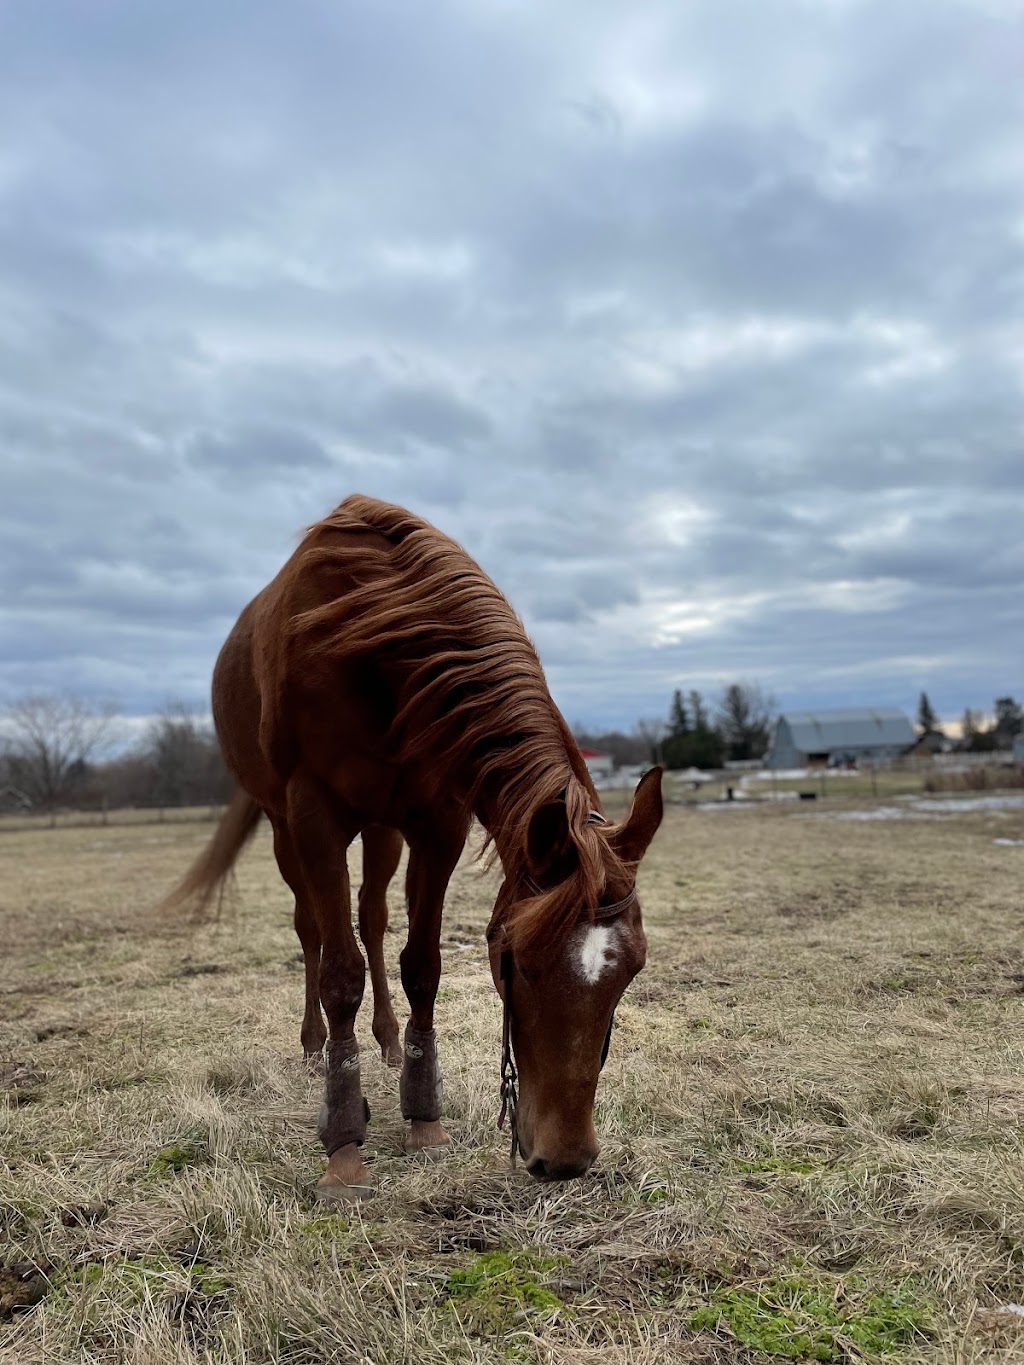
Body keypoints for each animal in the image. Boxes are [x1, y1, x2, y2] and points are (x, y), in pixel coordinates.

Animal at [156, 496, 660, 1201]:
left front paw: (424, 1116)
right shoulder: (313, 815)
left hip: (383, 831)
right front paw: (344, 1145)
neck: (376, 648)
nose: (564, 1159)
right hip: (287, 832)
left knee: (371, 918)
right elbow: (340, 972)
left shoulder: (437, 822)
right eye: (520, 964)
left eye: (631, 970)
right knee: (312, 931)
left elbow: (422, 963)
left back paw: (390, 1043)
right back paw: (314, 1047)